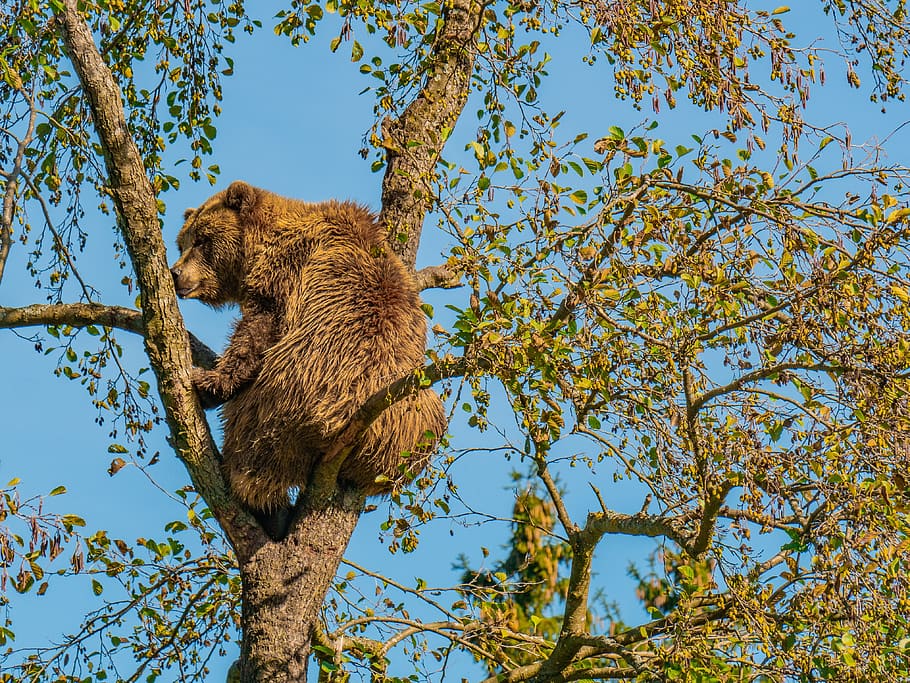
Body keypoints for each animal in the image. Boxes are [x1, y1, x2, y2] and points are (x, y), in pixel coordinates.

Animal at [169, 180, 446, 517]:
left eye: (202, 239)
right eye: (182, 242)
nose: (175, 273)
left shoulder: (287, 273)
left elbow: (259, 329)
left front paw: (211, 381)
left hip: (291, 390)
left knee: (252, 436)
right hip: (414, 423)